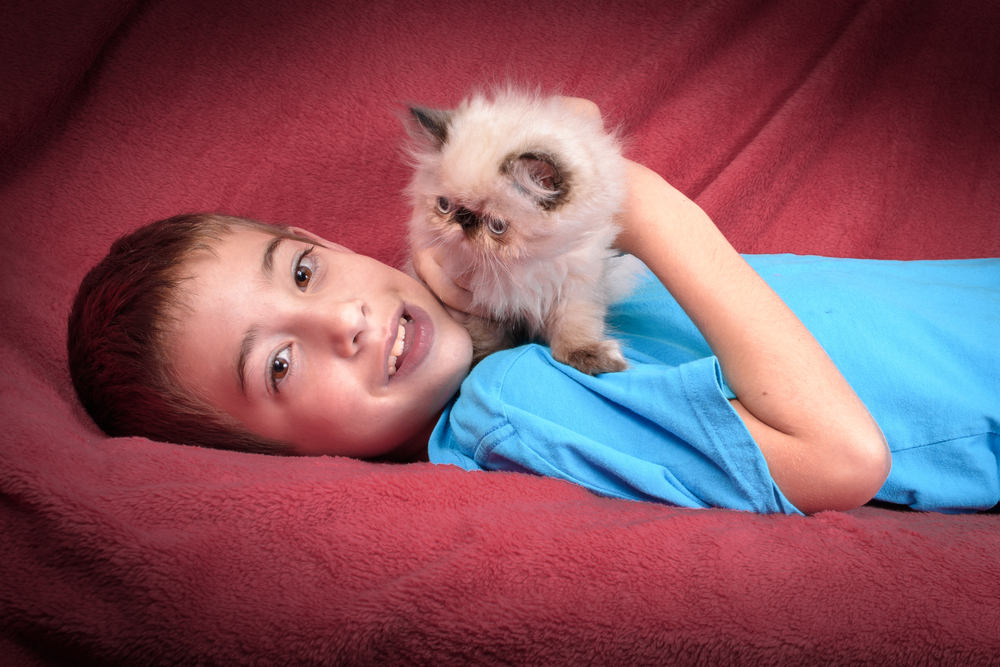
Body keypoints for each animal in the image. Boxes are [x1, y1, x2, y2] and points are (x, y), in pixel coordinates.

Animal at [404, 88, 640, 376]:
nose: (463, 222)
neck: (523, 265)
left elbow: (575, 327)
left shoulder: (579, 286)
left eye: (497, 226)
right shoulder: (480, 302)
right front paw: (482, 361)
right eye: (444, 206)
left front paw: (587, 356)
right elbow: (487, 340)